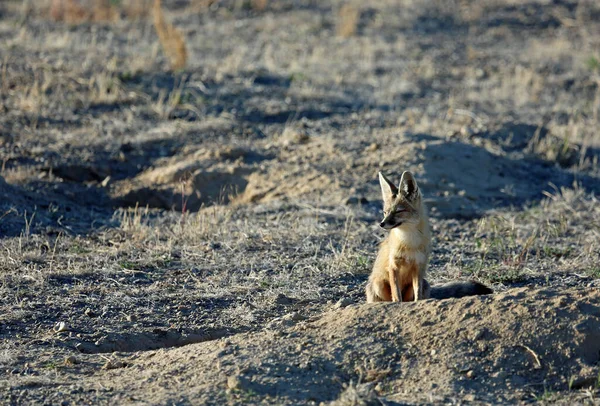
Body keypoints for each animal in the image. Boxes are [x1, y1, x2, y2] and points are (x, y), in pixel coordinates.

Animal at [366, 170, 492, 302]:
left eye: (398, 211)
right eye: (385, 212)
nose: (381, 224)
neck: (409, 242)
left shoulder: (418, 267)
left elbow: (418, 293)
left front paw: (417, 303)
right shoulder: (393, 266)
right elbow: (396, 293)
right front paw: (397, 303)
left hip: (424, 284)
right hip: (378, 284)